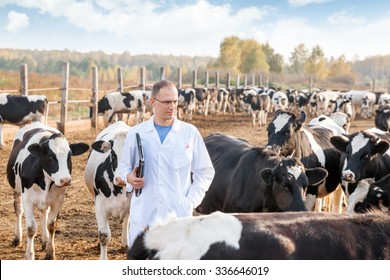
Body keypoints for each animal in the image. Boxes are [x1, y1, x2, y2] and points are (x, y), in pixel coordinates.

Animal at [6, 121, 89, 260]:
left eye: (69, 156)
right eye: (51, 156)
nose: (65, 180)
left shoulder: (58, 199)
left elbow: (51, 225)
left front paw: (50, 252)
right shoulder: (27, 199)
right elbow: (31, 228)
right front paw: (30, 255)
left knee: (43, 214)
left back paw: (44, 241)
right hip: (17, 190)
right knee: (18, 210)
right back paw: (17, 239)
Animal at [84, 121, 133, 260]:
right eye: (113, 155)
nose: (121, 179)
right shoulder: (99, 205)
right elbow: (104, 235)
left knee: (126, 222)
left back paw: (125, 244)